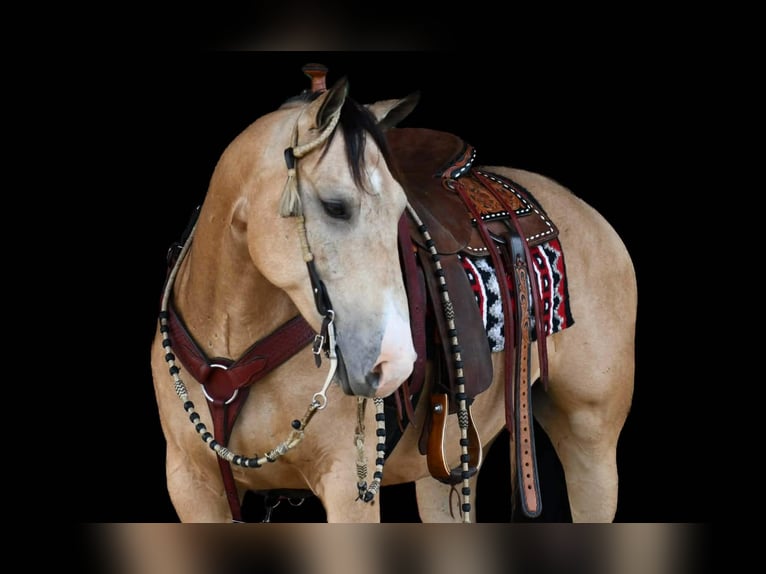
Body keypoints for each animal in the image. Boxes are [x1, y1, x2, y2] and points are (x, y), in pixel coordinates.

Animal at [150, 64, 637, 523]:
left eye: (402, 211)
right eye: (335, 206)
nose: (395, 363)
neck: (232, 341)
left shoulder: (349, 487)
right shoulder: (191, 486)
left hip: (591, 440)